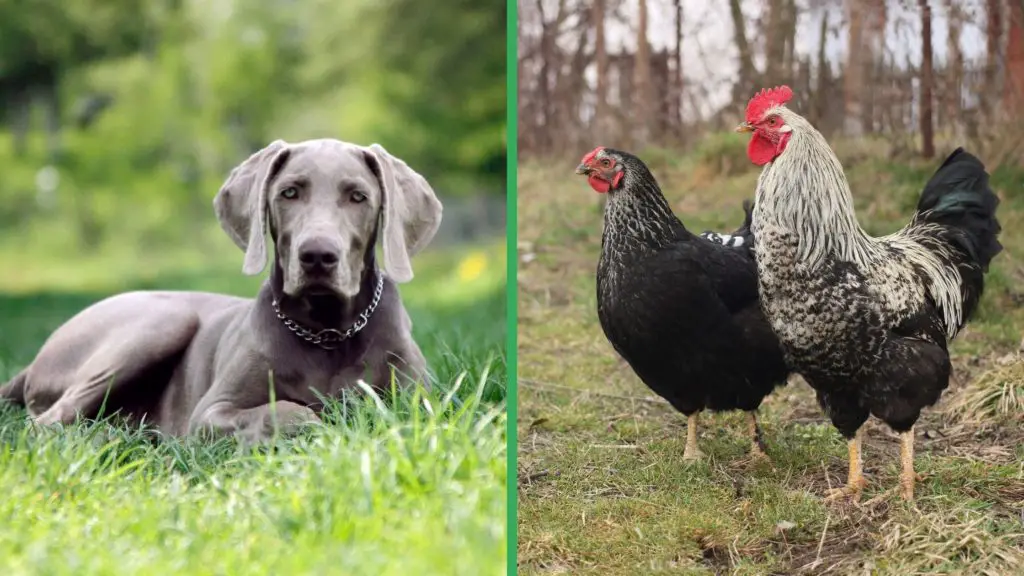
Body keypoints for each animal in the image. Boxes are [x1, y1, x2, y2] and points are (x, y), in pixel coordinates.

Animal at [0, 138, 440, 438]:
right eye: (289, 192)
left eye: (358, 197)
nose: (317, 256)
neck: (328, 332)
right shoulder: (211, 414)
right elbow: (290, 411)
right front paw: (324, 426)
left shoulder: (422, 404)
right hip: (164, 319)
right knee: (47, 423)